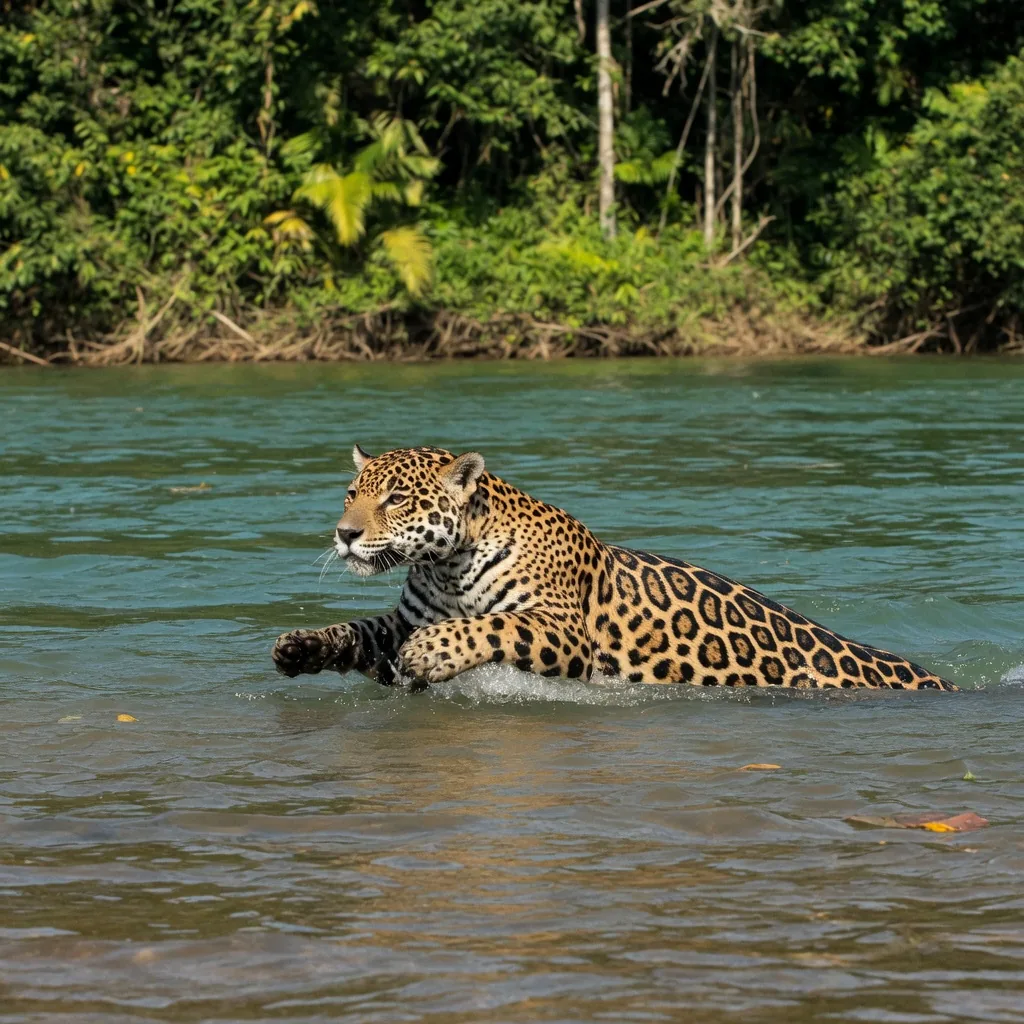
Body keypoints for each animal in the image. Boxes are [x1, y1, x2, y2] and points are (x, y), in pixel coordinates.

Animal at [272, 445, 959, 693]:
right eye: (350, 494)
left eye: (396, 499)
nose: (344, 534)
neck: (446, 564)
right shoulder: (400, 618)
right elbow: (360, 631)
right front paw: (300, 646)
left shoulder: (561, 628)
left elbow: (487, 627)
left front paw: (432, 653)